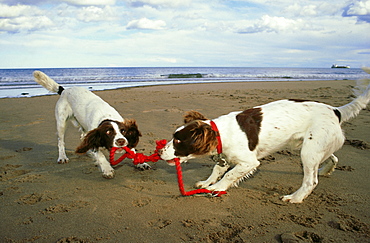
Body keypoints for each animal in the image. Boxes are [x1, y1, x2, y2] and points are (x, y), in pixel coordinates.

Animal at [160, 77, 370, 202]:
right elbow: (218, 169)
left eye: (178, 141)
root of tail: (336, 111)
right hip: (315, 146)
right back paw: (326, 170)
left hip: (309, 151)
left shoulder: (249, 162)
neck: (221, 133)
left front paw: (217, 187)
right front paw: (206, 182)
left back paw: (295, 198)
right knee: (333, 157)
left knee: (311, 181)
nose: (160, 151)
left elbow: (229, 174)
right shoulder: (225, 156)